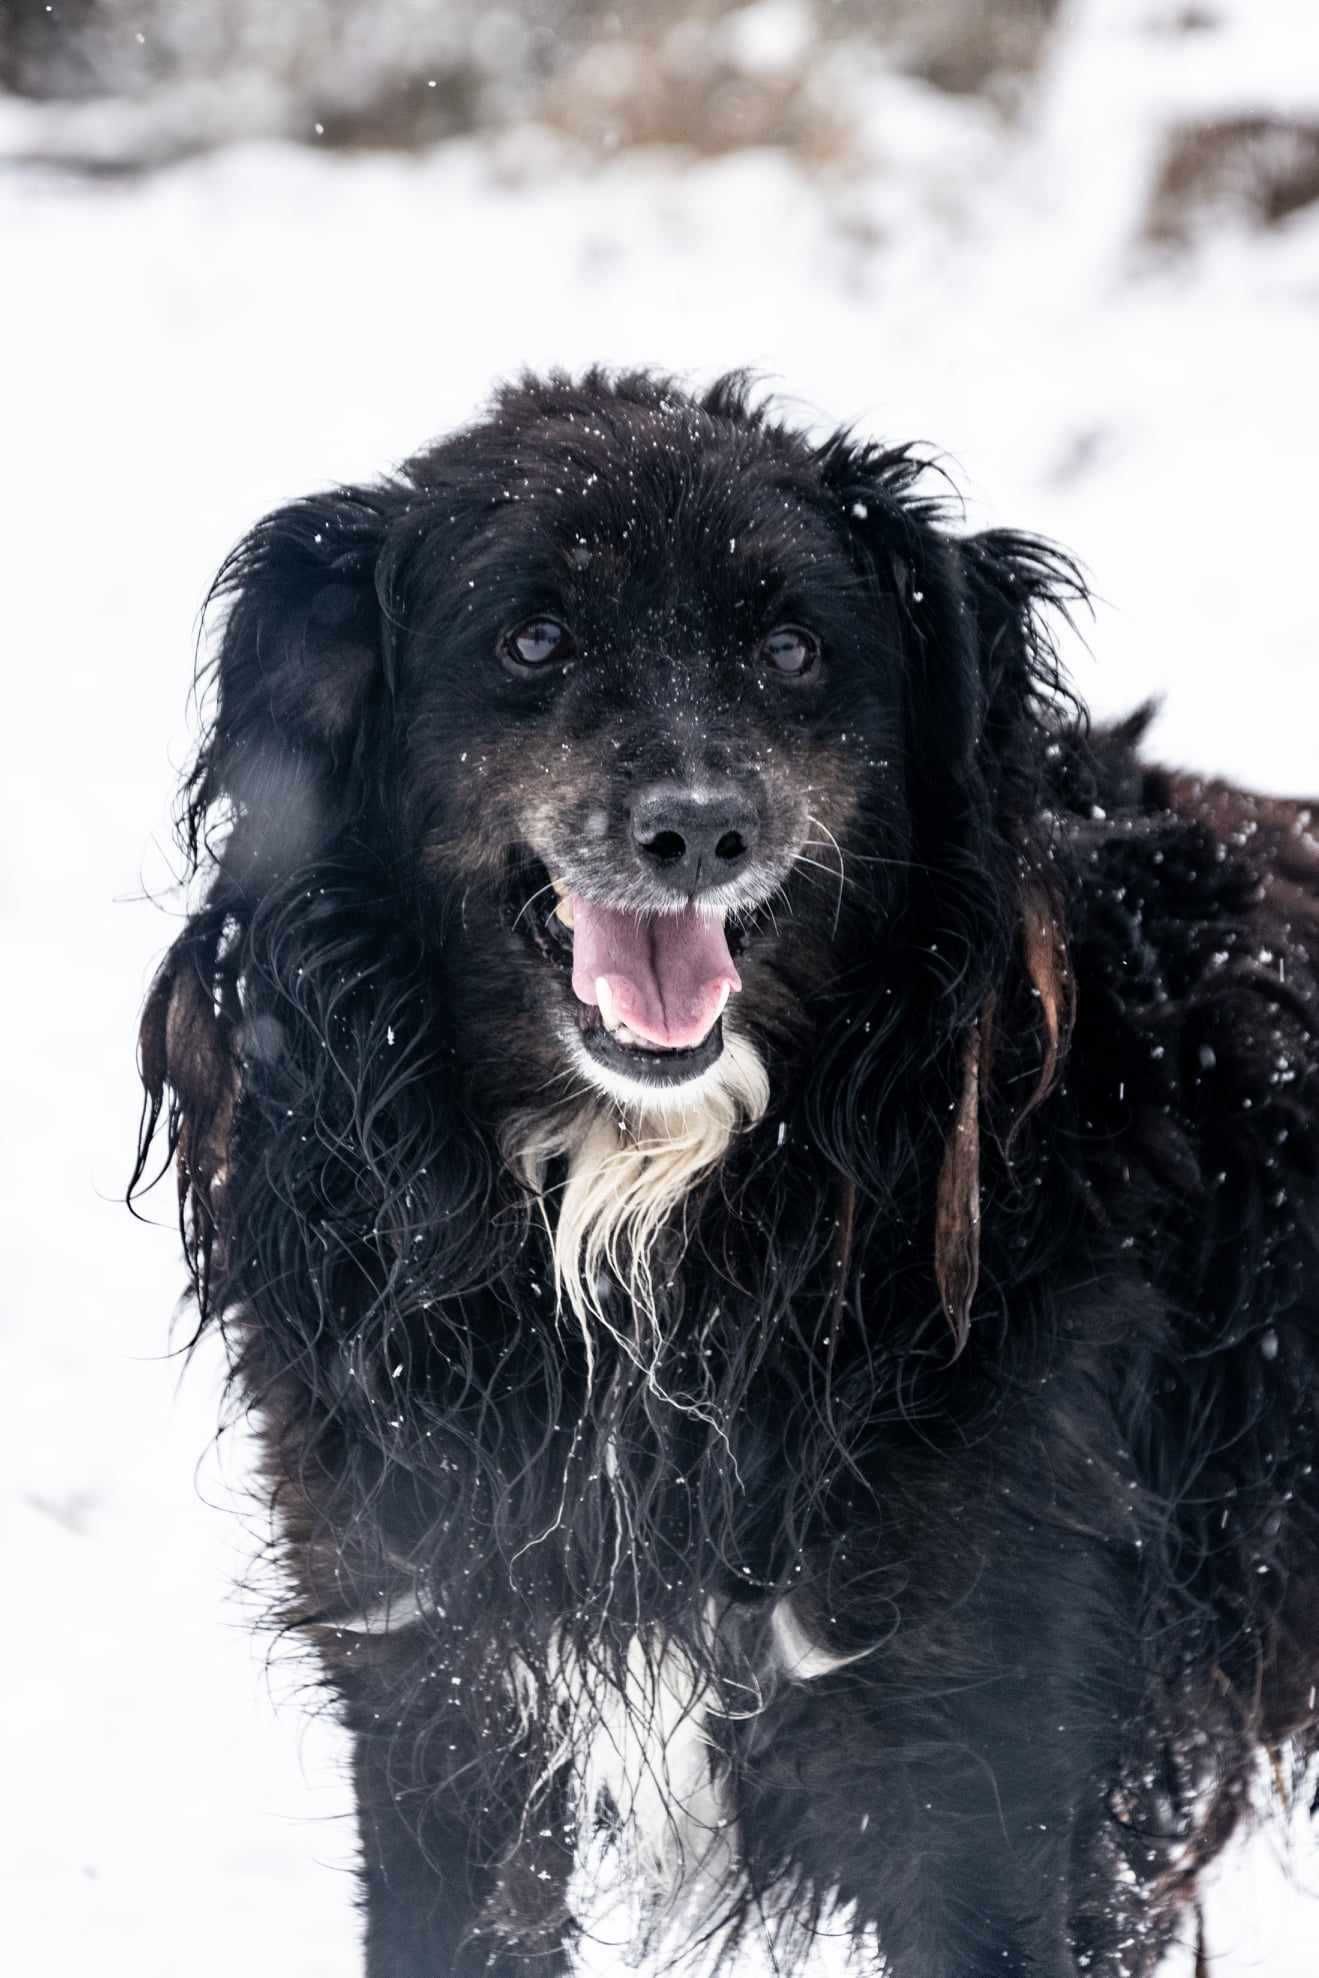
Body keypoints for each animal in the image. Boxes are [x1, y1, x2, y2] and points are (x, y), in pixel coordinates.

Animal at [136, 373, 1319, 1978]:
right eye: (532, 638)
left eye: (790, 649)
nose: (699, 829)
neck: (648, 1219)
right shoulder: (443, 1708)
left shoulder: (992, 1766)